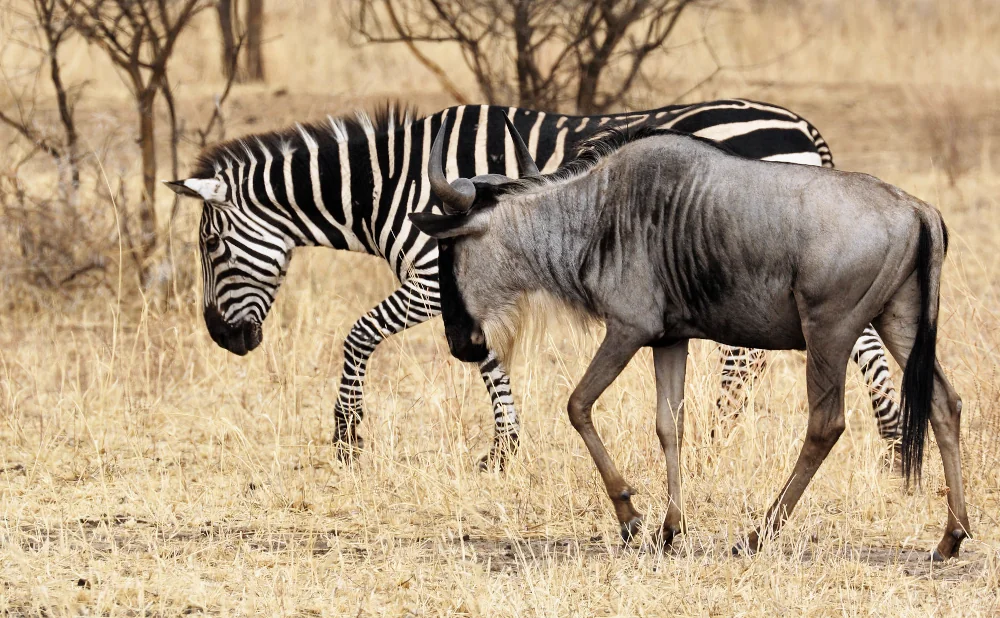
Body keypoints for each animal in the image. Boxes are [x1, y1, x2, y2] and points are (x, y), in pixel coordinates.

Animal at [162, 98, 900, 466]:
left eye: (210, 246)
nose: (223, 340)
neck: (392, 184)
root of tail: (801, 124)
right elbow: (488, 358)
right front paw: (506, 446)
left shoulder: (433, 275)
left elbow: (360, 334)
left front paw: (347, 436)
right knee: (852, 340)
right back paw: (892, 443)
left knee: (753, 356)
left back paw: (722, 441)